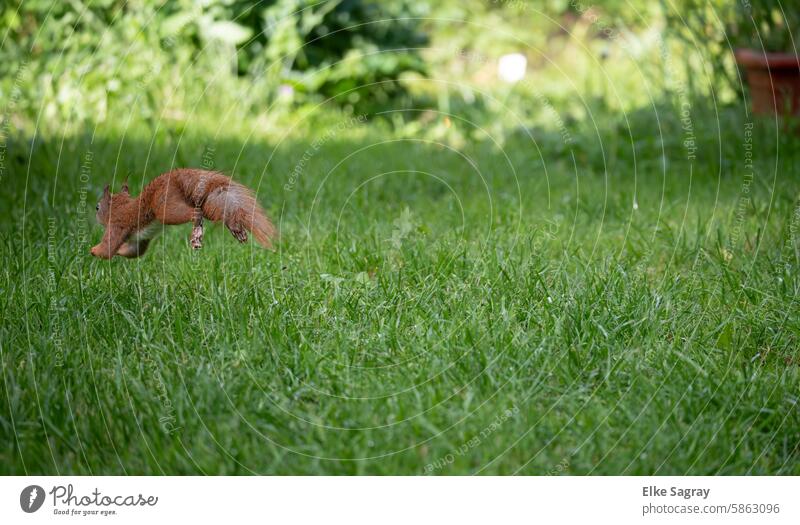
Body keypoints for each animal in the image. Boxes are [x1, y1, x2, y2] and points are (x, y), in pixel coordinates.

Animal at [90, 168, 276, 258]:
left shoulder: (116, 225)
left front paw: (93, 250)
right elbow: (134, 251)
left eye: (97, 207)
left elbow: (108, 249)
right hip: (205, 201)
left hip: (166, 208)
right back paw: (235, 230)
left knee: (194, 213)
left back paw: (197, 232)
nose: (95, 216)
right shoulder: (139, 239)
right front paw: (120, 251)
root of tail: (174, 177)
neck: (119, 208)